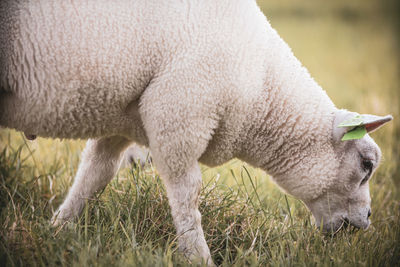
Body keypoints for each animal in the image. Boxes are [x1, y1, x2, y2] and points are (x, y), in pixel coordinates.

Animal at [0, 0, 394, 264]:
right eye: (366, 165)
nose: (367, 221)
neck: (262, 88)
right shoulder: (179, 113)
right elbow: (187, 195)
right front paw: (198, 255)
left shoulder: (124, 117)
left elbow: (94, 175)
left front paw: (56, 229)